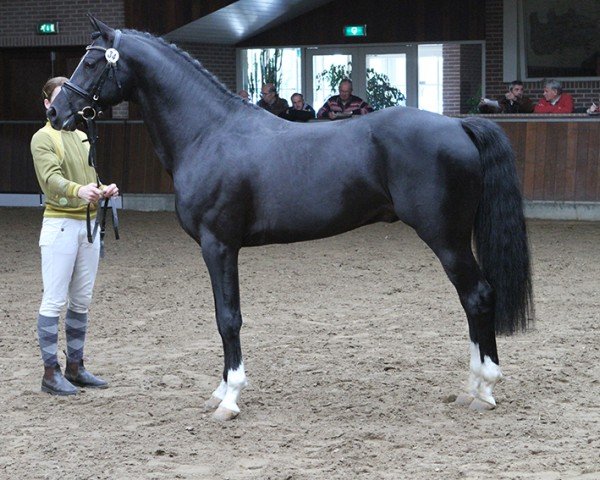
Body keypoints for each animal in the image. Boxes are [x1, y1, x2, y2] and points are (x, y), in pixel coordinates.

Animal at [48, 15, 536, 420]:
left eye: (92, 61)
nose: (56, 112)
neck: (209, 133)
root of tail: (459, 124)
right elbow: (224, 317)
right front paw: (220, 390)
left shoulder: (219, 245)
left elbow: (228, 318)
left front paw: (229, 398)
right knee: (473, 300)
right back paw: (473, 387)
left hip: (446, 237)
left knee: (478, 297)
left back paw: (483, 389)